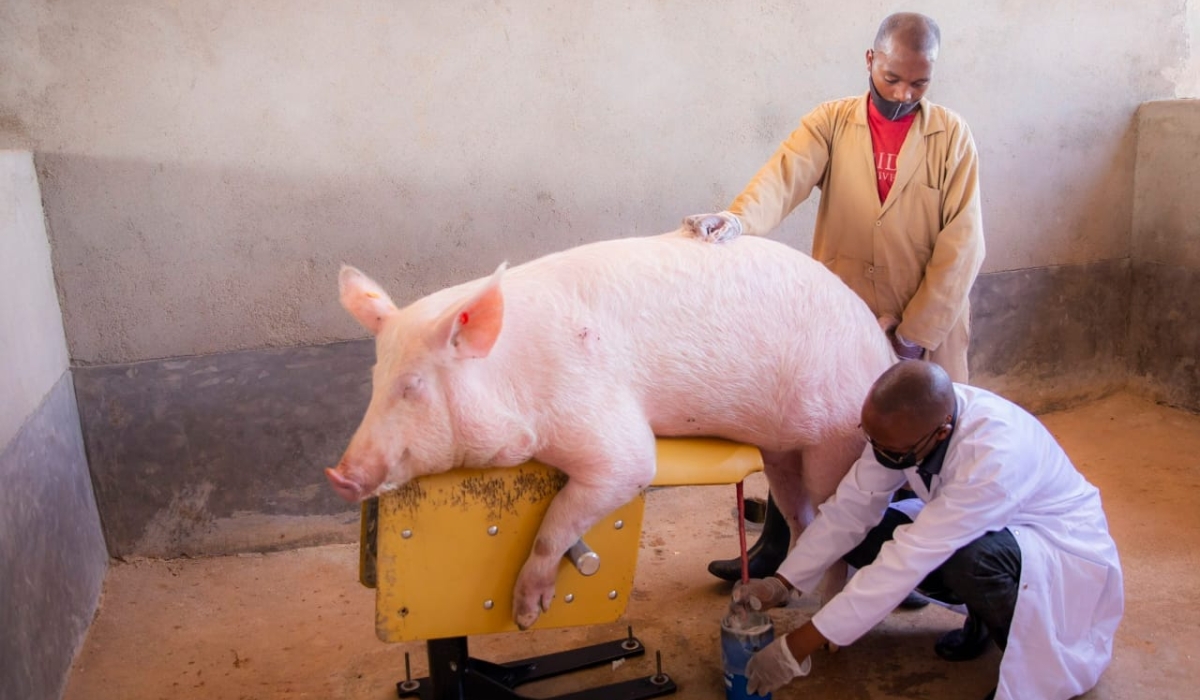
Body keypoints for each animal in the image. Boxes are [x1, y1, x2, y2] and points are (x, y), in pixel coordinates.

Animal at [328, 230, 896, 629]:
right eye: (376, 379)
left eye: (413, 386)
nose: (339, 475)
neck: (513, 375)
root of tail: (885, 352)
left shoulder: (610, 435)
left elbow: (570, 512)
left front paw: (525, 615)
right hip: (781, 450)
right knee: (802, 518)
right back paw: (778, 596)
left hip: (835, 443)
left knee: (839, 522)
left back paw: (819, 608)